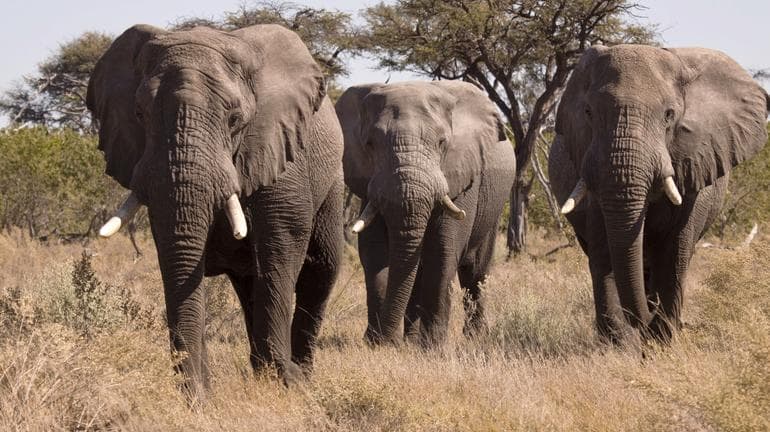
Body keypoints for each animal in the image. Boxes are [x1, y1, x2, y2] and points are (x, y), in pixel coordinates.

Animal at [86, 24, 344, 398]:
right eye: (139, 115)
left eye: (235, 119)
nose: (199, 397)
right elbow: (175, 252)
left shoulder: (279, 153)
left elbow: (280, 250)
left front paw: (286, 381)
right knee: (249, 282)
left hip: (332, 178)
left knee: (320, 267)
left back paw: (301, 373)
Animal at [336, 81, 516, 346]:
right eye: (370, 144)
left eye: (442, 143)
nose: (387, 341)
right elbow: (374, 253)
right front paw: (376, 343)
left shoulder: (461, 176)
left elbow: (442, 250)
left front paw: (431, 347)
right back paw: (411, 340)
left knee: (476, 271)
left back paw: (474, 337)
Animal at [549, 44, 769, 344]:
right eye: (588, 112)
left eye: (669, 115)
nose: (646, 319)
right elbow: (605, 250)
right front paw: (622, 343)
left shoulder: (695, 164)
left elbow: (675, 252)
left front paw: (658, 339)